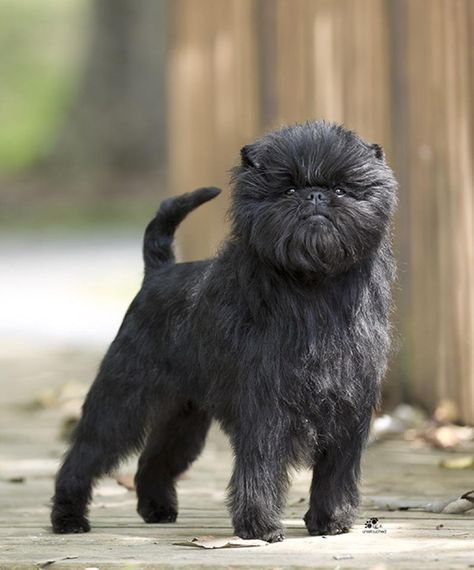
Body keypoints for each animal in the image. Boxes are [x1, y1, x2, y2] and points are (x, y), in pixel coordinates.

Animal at [51, 118, 396, 536]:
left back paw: (157, 508)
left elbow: (336, 471)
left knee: (155, 459)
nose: (315, 196)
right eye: (288, 189)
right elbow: (261, 466)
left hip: (183, 414)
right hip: (122, 400)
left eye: (342, 190)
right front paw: (260, 526)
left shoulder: (348, 409)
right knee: (86, 454)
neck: (314, 287)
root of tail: (158, 272)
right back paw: (68, 517)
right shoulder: (266, 407)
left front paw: (331, 520)